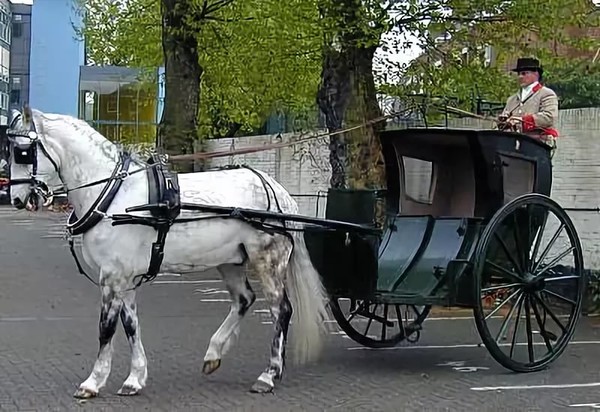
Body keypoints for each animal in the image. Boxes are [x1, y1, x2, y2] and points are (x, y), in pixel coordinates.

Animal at [4, 108, 330, 398]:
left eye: (22, 152)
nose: (17, 199)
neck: (115, 195)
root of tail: (280, 193)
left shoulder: (112, 278)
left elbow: (106, 329)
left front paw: (93, 382)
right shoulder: (125, 279)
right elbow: (131, 326)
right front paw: (135, 379)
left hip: (268, 261)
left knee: (281, 310)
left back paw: (269, 374)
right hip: (230, 261)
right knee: (244, 300)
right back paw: (214, 353)